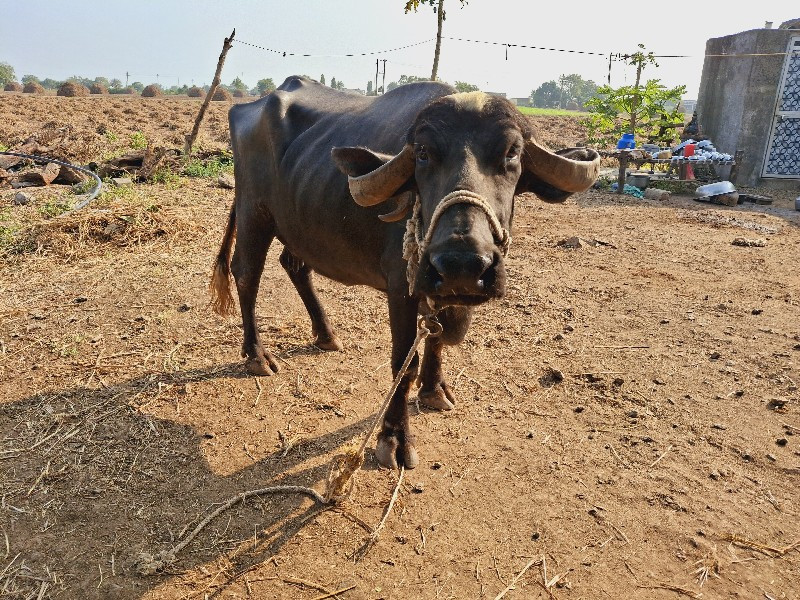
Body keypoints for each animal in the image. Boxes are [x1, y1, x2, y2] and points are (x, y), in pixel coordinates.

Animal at [209, 74, 596, 468]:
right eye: (423, 153)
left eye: (512, 153)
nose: (462, 265)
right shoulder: (401, 288)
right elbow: (403, 363)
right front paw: (394, 438)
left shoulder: (440, 289)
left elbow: (436, 339)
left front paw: (434, 389)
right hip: (254, 212)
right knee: (246, 273)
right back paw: (257, 355)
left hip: (301, 224)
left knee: (295, 265)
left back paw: (326, 334)